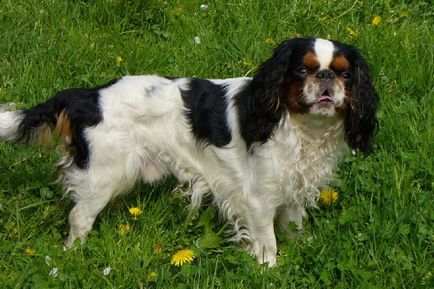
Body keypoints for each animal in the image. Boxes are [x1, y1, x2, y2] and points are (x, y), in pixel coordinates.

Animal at [0, 38, 376, 266]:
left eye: (344, 73)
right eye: (302, 69)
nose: (326, 77)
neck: (295, 122)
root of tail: (88, 96)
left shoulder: (291, 185)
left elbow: (294, 224)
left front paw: (305, 248)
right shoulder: (257, 197)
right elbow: (266, 239)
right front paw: (270, 268)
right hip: (104, 175)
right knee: (79, 217)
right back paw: (74, 255)